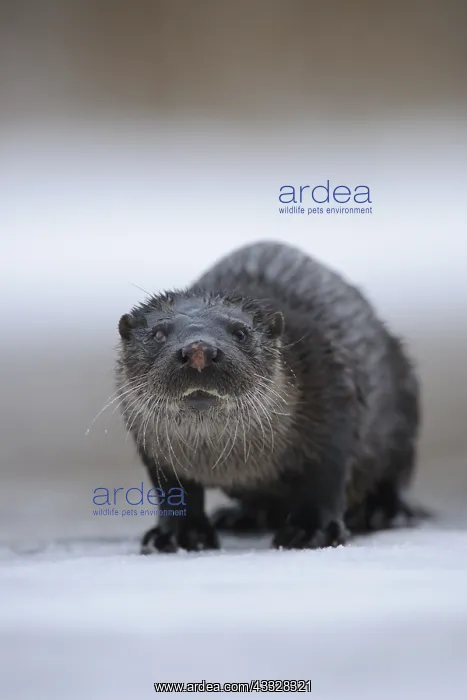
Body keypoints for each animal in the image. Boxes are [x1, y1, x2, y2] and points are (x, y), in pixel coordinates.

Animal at [116, 240, 421, 553]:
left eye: (240, 333)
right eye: (158, 334)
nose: (199, 350)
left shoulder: (333, 395)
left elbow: (326, 477)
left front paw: (311, 532)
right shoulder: (153, 447)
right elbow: (173, 490)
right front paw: (176, 536)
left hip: (402, 411)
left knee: (392, 475)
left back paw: (381, 513)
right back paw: (237, 517)